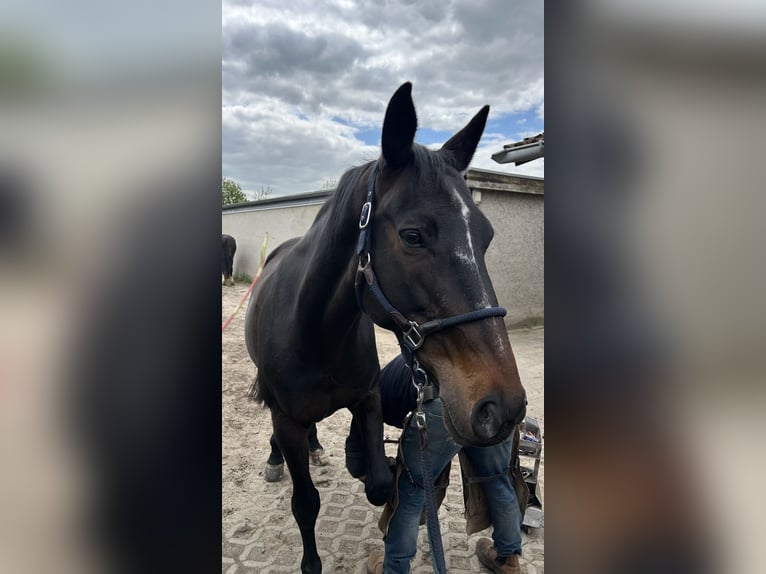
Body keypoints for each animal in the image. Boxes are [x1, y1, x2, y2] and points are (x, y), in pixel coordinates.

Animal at [244, 82, 527, 573]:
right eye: (413, 236)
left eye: (487, 236)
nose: (502, 407)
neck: (318, 333)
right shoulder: (288, 419)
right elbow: (306, 504)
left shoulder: (369, 398)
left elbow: (379, 483)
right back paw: (278, 459)